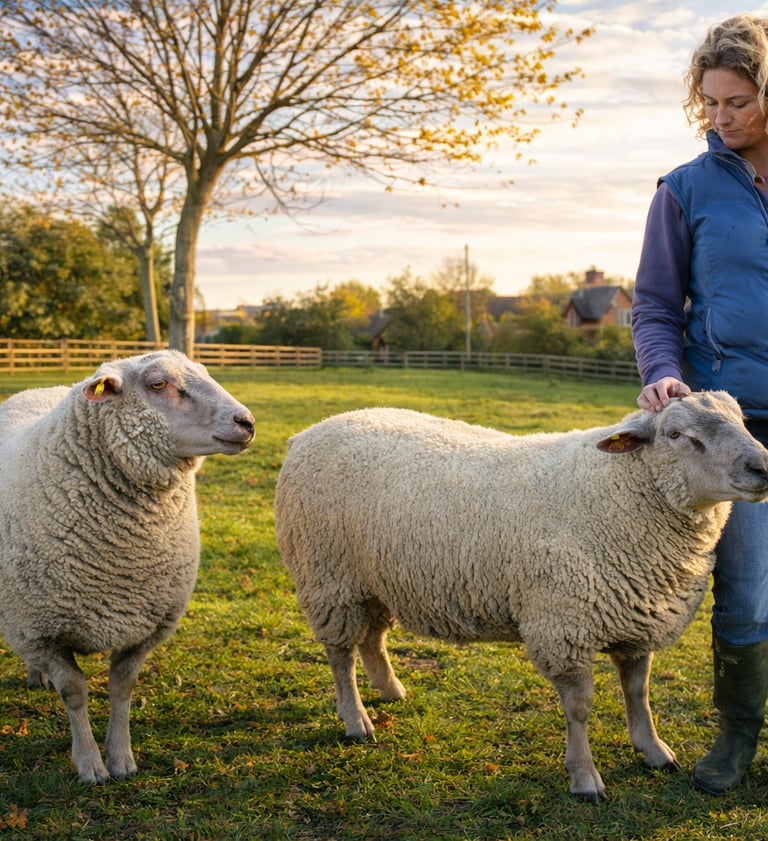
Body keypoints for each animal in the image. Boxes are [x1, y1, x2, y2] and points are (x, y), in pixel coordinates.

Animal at [0, 350, 255, 784]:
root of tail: (38, 389)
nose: (246, 422)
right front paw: (89, 764)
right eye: (158, 384)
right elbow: (75, 692)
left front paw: (120, 758)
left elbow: (122, 687)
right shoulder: (40, 629)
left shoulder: (145, 625)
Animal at [274, 391, 768, 803]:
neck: (616, 491)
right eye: (676, 434)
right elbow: (580, 709)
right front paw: (584, 778)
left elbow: (638, 692)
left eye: (742, 420)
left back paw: (391, 690)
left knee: (373, 638)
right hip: (328, 578)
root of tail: (310, 431)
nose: (762, 466)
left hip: (375, 578)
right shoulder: (563, 626)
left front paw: (653, 750)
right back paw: (356, 720)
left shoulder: (635, 618)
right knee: (341, 656)